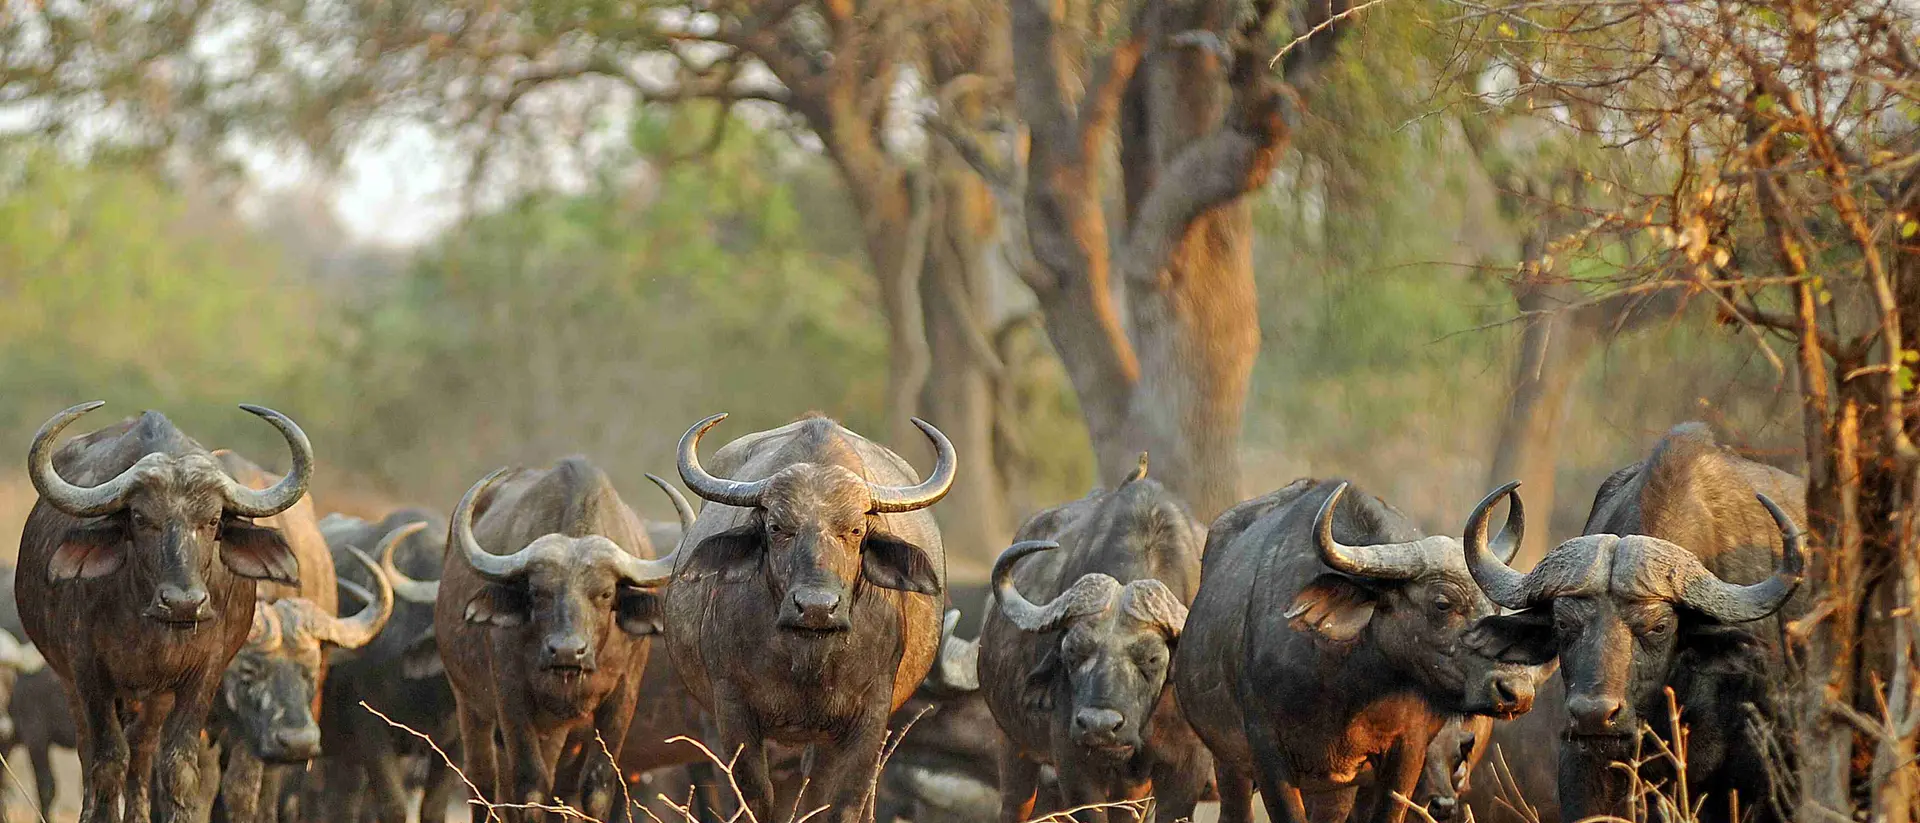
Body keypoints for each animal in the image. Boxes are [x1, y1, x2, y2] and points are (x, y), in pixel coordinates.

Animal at [16, 402, 313, 823]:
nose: (184, 602)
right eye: (141, 518)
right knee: (93, 750)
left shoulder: (204, 673)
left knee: (142, 753)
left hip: (153, 697)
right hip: (71, 680)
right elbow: (107, 760)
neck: (150, 628)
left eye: (212, 520)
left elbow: (177, 767)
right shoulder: (87, 669)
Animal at [436, 458, 688, 823]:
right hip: (470, 705)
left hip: (564, 730)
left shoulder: (622, 697)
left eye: (606, 593)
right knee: (483, 781)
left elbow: (597, 787)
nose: (567, 652)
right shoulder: (511, 697)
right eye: (537, 592)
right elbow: (530, 787)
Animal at [663, 413, 953, 823]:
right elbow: (754, 796)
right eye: (777, 528)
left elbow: (842, 803)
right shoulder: (732, 709)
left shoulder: (869, 719)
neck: (807, 657)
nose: (816, 607)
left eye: (855, 529)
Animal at [981, 461, 1210, 823]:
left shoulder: (1188, 767)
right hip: (1012, 744)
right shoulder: (1073, 762)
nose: (1099, 726)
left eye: (1152, 659)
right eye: (1072, 652)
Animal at [1172, 479, 1529, 823]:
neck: (1344, 687)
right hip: (1229, 761)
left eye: (1494, 607)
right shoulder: (1267, 755)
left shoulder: (1405, 755)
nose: (1518, 692)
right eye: (1442, 603)